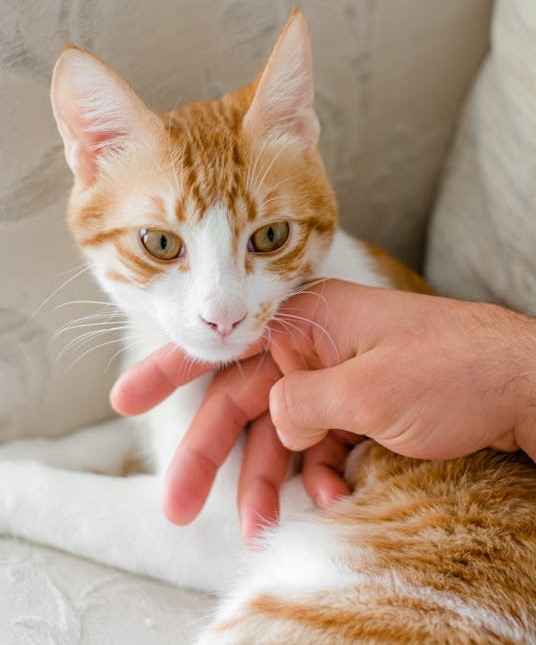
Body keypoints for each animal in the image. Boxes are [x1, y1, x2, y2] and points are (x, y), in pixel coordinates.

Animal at [0, 10, 532, 644]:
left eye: (271, 236)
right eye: (160, 243)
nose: (222, 316)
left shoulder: (208, 523)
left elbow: (77, 502)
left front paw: (12, 479)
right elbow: (106, 431)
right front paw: (26, 444)